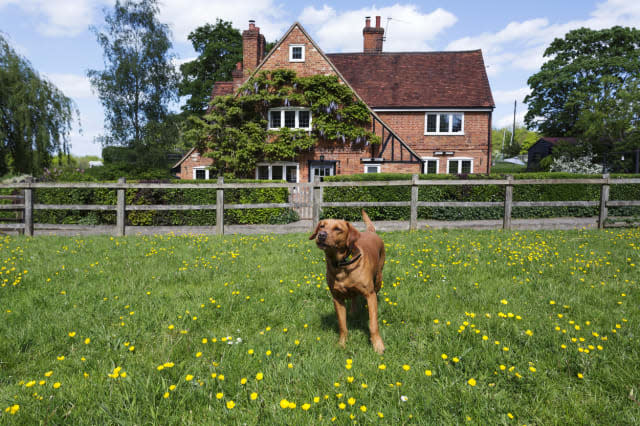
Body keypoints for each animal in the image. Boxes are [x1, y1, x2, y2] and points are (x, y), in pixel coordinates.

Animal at [310, 210, 384, 352]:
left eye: (337, 229)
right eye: (322, 226)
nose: (321, 235)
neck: (341, 265)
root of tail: (370, 231)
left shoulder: (369, 294)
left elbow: (373, 324)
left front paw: (378, 345)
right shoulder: (337, 298)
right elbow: (342, 325)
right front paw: (342, 344)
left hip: (378, 279)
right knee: (354, 296)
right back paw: (353, 311)